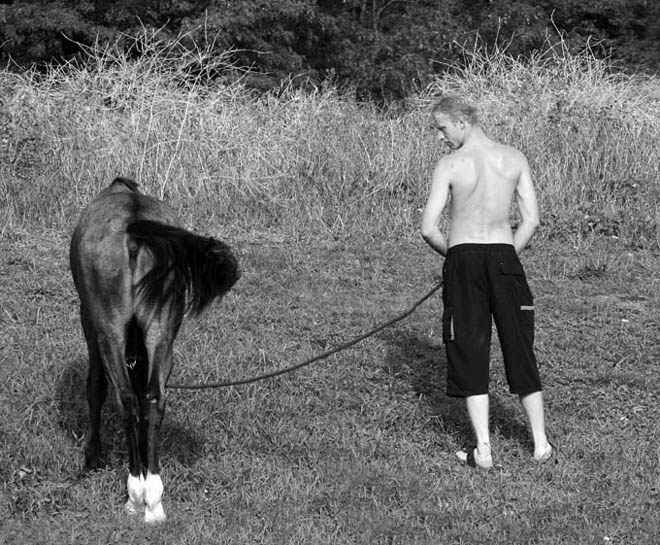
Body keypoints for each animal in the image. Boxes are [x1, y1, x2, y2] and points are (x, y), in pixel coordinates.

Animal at [70, 176, 240, 520]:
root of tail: (135, 225)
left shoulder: (89, 320)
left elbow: (96, 387)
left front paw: (92, 458)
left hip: (108, 327)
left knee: (126, 398)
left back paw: (136, 493)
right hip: (162, 330)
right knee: (153, 399)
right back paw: (153, 496)